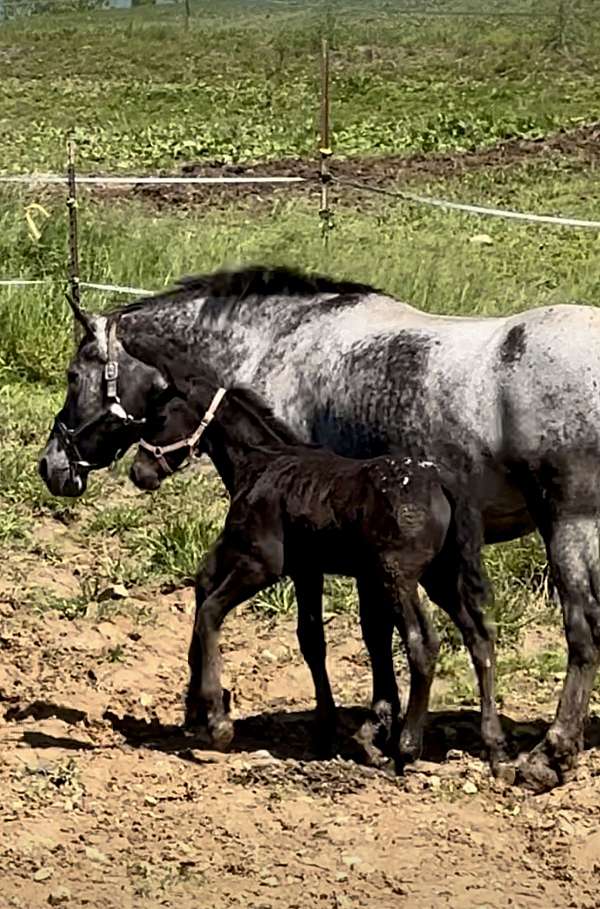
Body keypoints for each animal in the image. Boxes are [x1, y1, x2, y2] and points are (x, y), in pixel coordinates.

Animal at [131, 366, 506, 768]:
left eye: (159, 417)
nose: (139, 472)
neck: (260, 466)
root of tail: (441, 480)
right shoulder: (303, 570)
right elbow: (309, 639)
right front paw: (321, 731)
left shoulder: (262, 564)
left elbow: (211, 613)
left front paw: (218, 722)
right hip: (443, 578)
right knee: (480, 639)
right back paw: (495, 746)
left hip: (397, 578)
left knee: (423, 643)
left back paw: (406, 747)